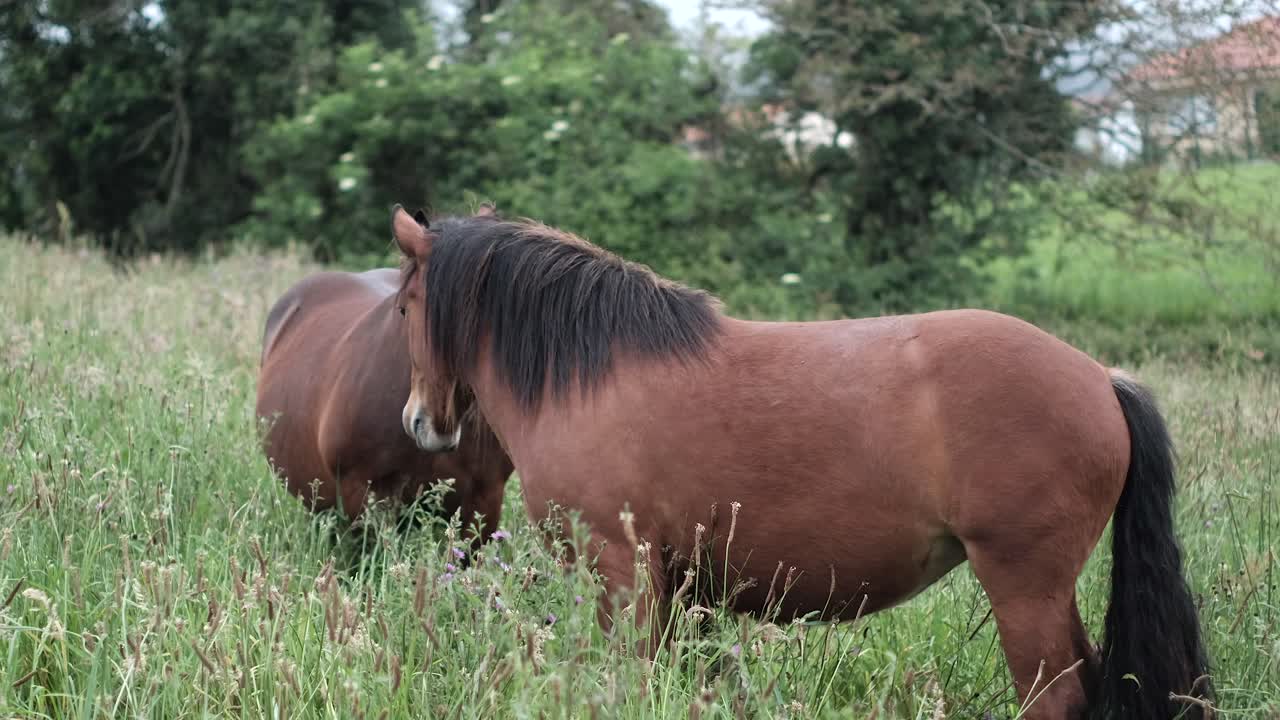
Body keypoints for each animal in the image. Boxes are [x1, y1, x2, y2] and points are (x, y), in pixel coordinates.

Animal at [389, 205, 1211, 720]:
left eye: (402, 309)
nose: (419, 423)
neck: (592, 373)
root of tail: (1101, 379)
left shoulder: (621, 572)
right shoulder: (673, 587)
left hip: (1023, 587)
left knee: (1055, 697)